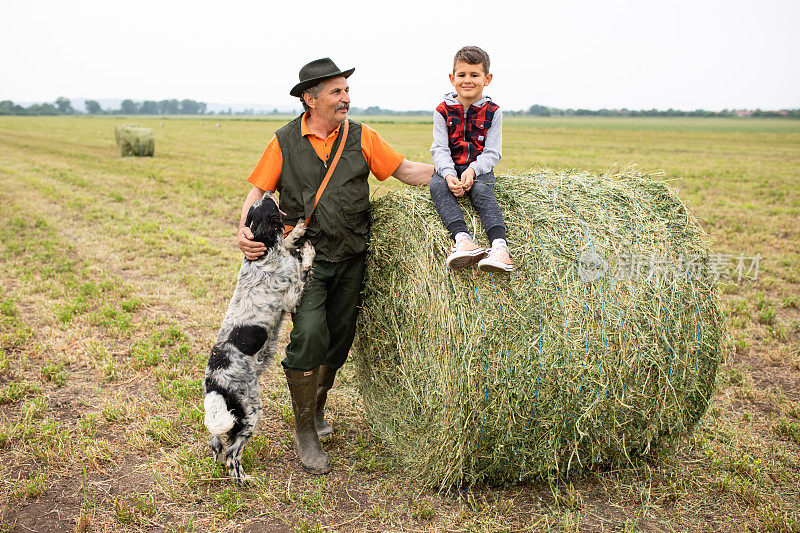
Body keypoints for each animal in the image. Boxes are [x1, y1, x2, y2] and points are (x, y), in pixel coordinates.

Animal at [202, 191, 314, 482]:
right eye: (269, 204)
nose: (268, 191)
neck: (263, 251)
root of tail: (214, 383)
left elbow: (288, 239)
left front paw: (299, 229)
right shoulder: (291, 295)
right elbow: (304, 266)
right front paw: (308, 249)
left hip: (225, 417)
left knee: (216, 442)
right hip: (251, 412)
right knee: (232, 454)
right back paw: (244, 480)